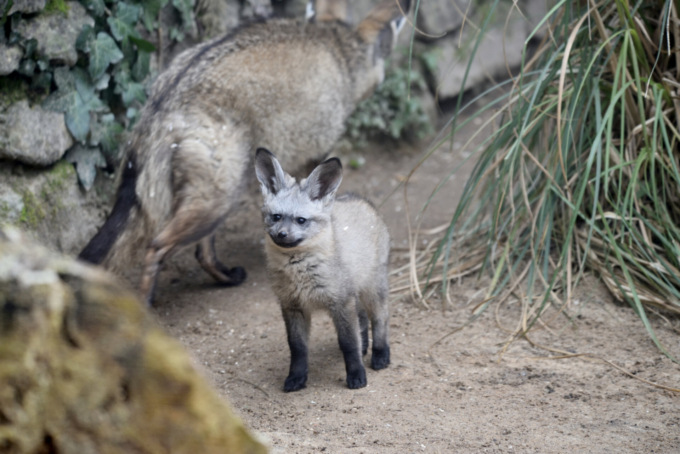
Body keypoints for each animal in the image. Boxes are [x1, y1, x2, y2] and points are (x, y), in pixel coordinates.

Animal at [78, 0, 410, 305]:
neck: (336, 48)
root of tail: (165, 102)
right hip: (217, 202)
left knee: (202, 252)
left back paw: (226, 277)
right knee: (156, 247)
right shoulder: (317, 153)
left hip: (215, 199)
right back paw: (146, 305)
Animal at [254, 147, 390, 392]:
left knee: (380, 318)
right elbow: (297, 348)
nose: (281, 235)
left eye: (301, 220)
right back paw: (366, 347)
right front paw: (296, 377)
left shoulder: (340, 303)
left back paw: (380, 353)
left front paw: (356, 374)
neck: (299, 274)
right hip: (356, 292)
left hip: (372, 289)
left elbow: (349, 344)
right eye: (276, 217)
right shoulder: (292, 306)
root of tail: (359, 198)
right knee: (363, 320)